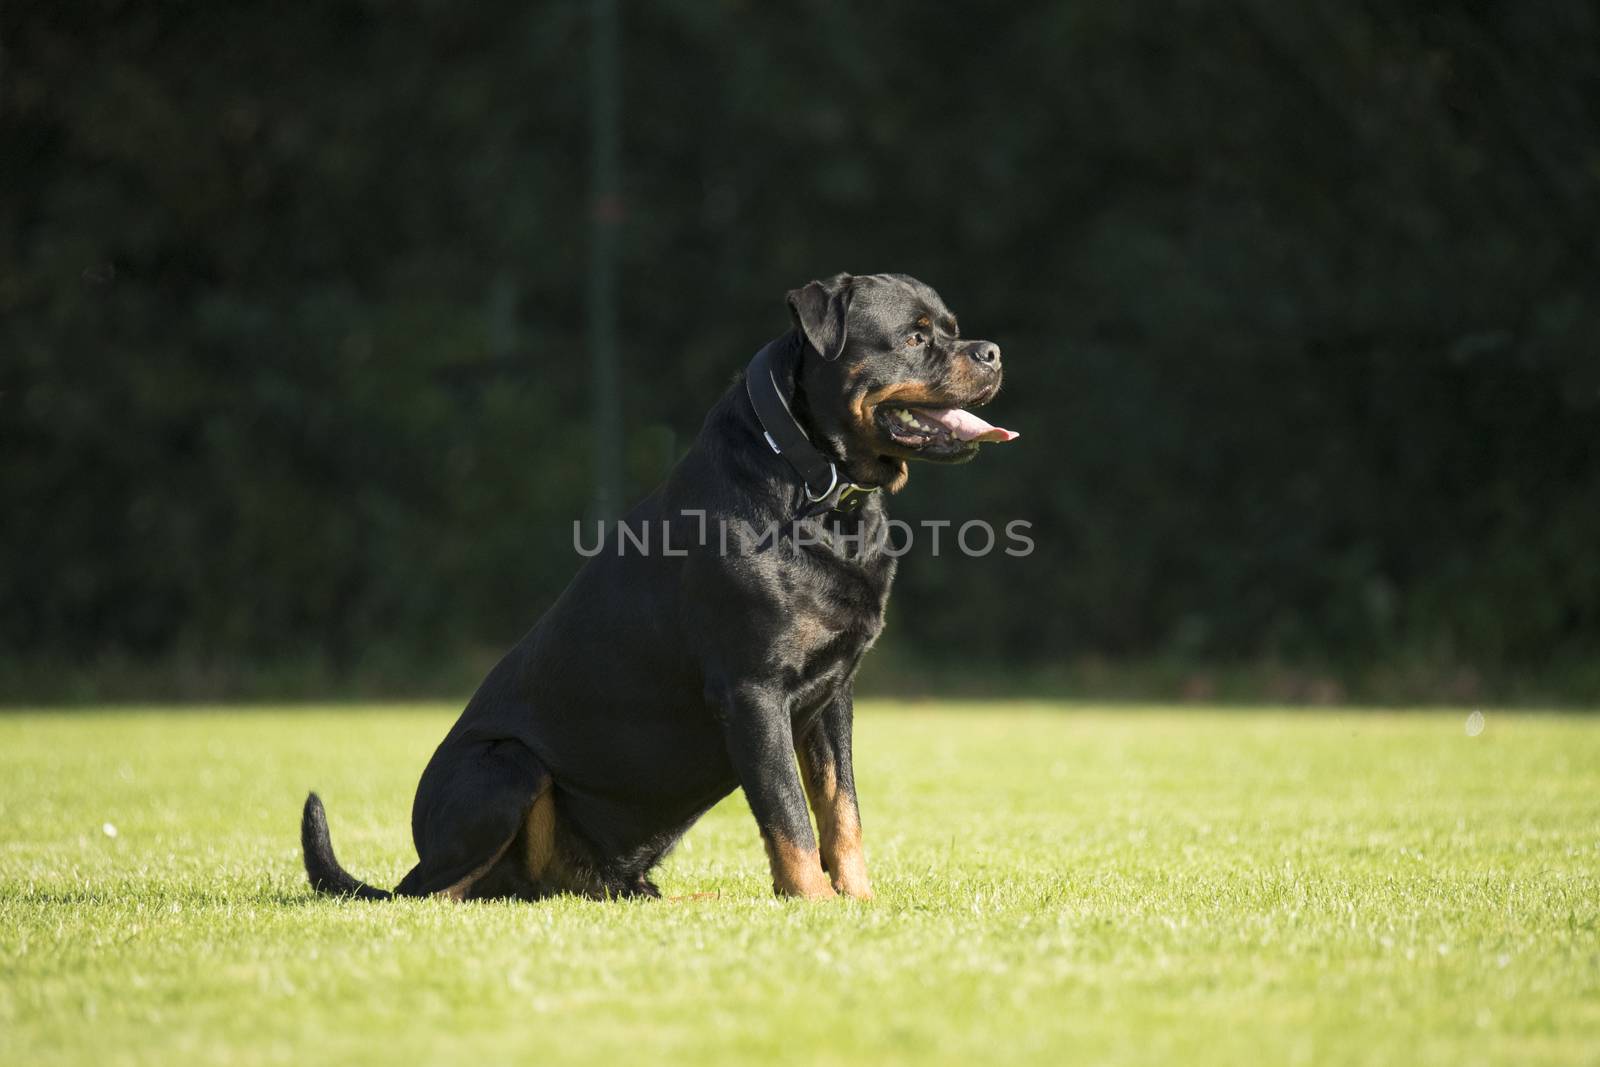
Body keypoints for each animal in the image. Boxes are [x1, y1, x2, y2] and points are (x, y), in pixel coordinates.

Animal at [300, 273, 1017, 902]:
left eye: (953, 330)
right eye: (915, 337)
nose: (992, 350)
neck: (815, 489)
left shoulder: (833, 695)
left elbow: (842, 810)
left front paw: (859, 898)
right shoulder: (752, 691)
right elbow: (788, 811)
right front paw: (813, 901)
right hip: (506, 766)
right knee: (435, 890)